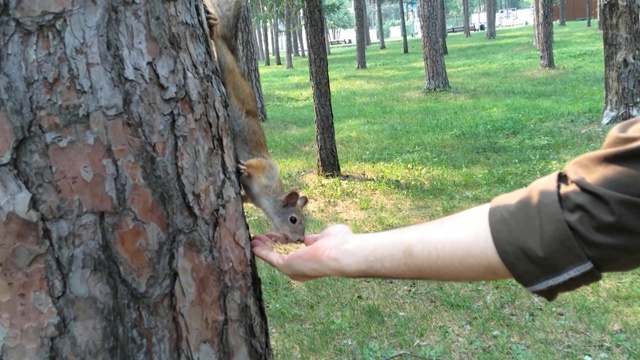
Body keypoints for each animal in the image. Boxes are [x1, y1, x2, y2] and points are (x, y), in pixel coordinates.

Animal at [201, 0, 308, 243]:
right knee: (222, 51)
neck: (269, 198)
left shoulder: (252, 197)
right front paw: (243, 167)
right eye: (293, 219)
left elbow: (243, 197)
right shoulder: (266, 169)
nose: (299, 240)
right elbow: (255, 164)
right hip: (234, 80)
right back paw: (213, 29)